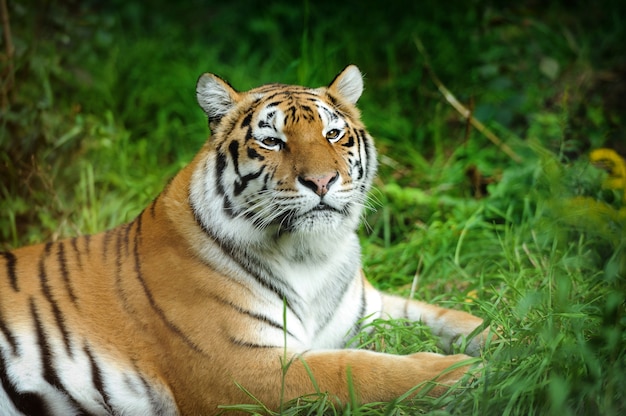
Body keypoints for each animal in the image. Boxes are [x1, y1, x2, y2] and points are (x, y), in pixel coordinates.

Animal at [0, 66, 488, 416]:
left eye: (332, 133)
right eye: (272, 141)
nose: (322, 181)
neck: (312, 255)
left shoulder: (370, 308)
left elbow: (449, 317)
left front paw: (500, 341)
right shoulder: (241, 368)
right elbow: (356, 370)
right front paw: (461, 373)